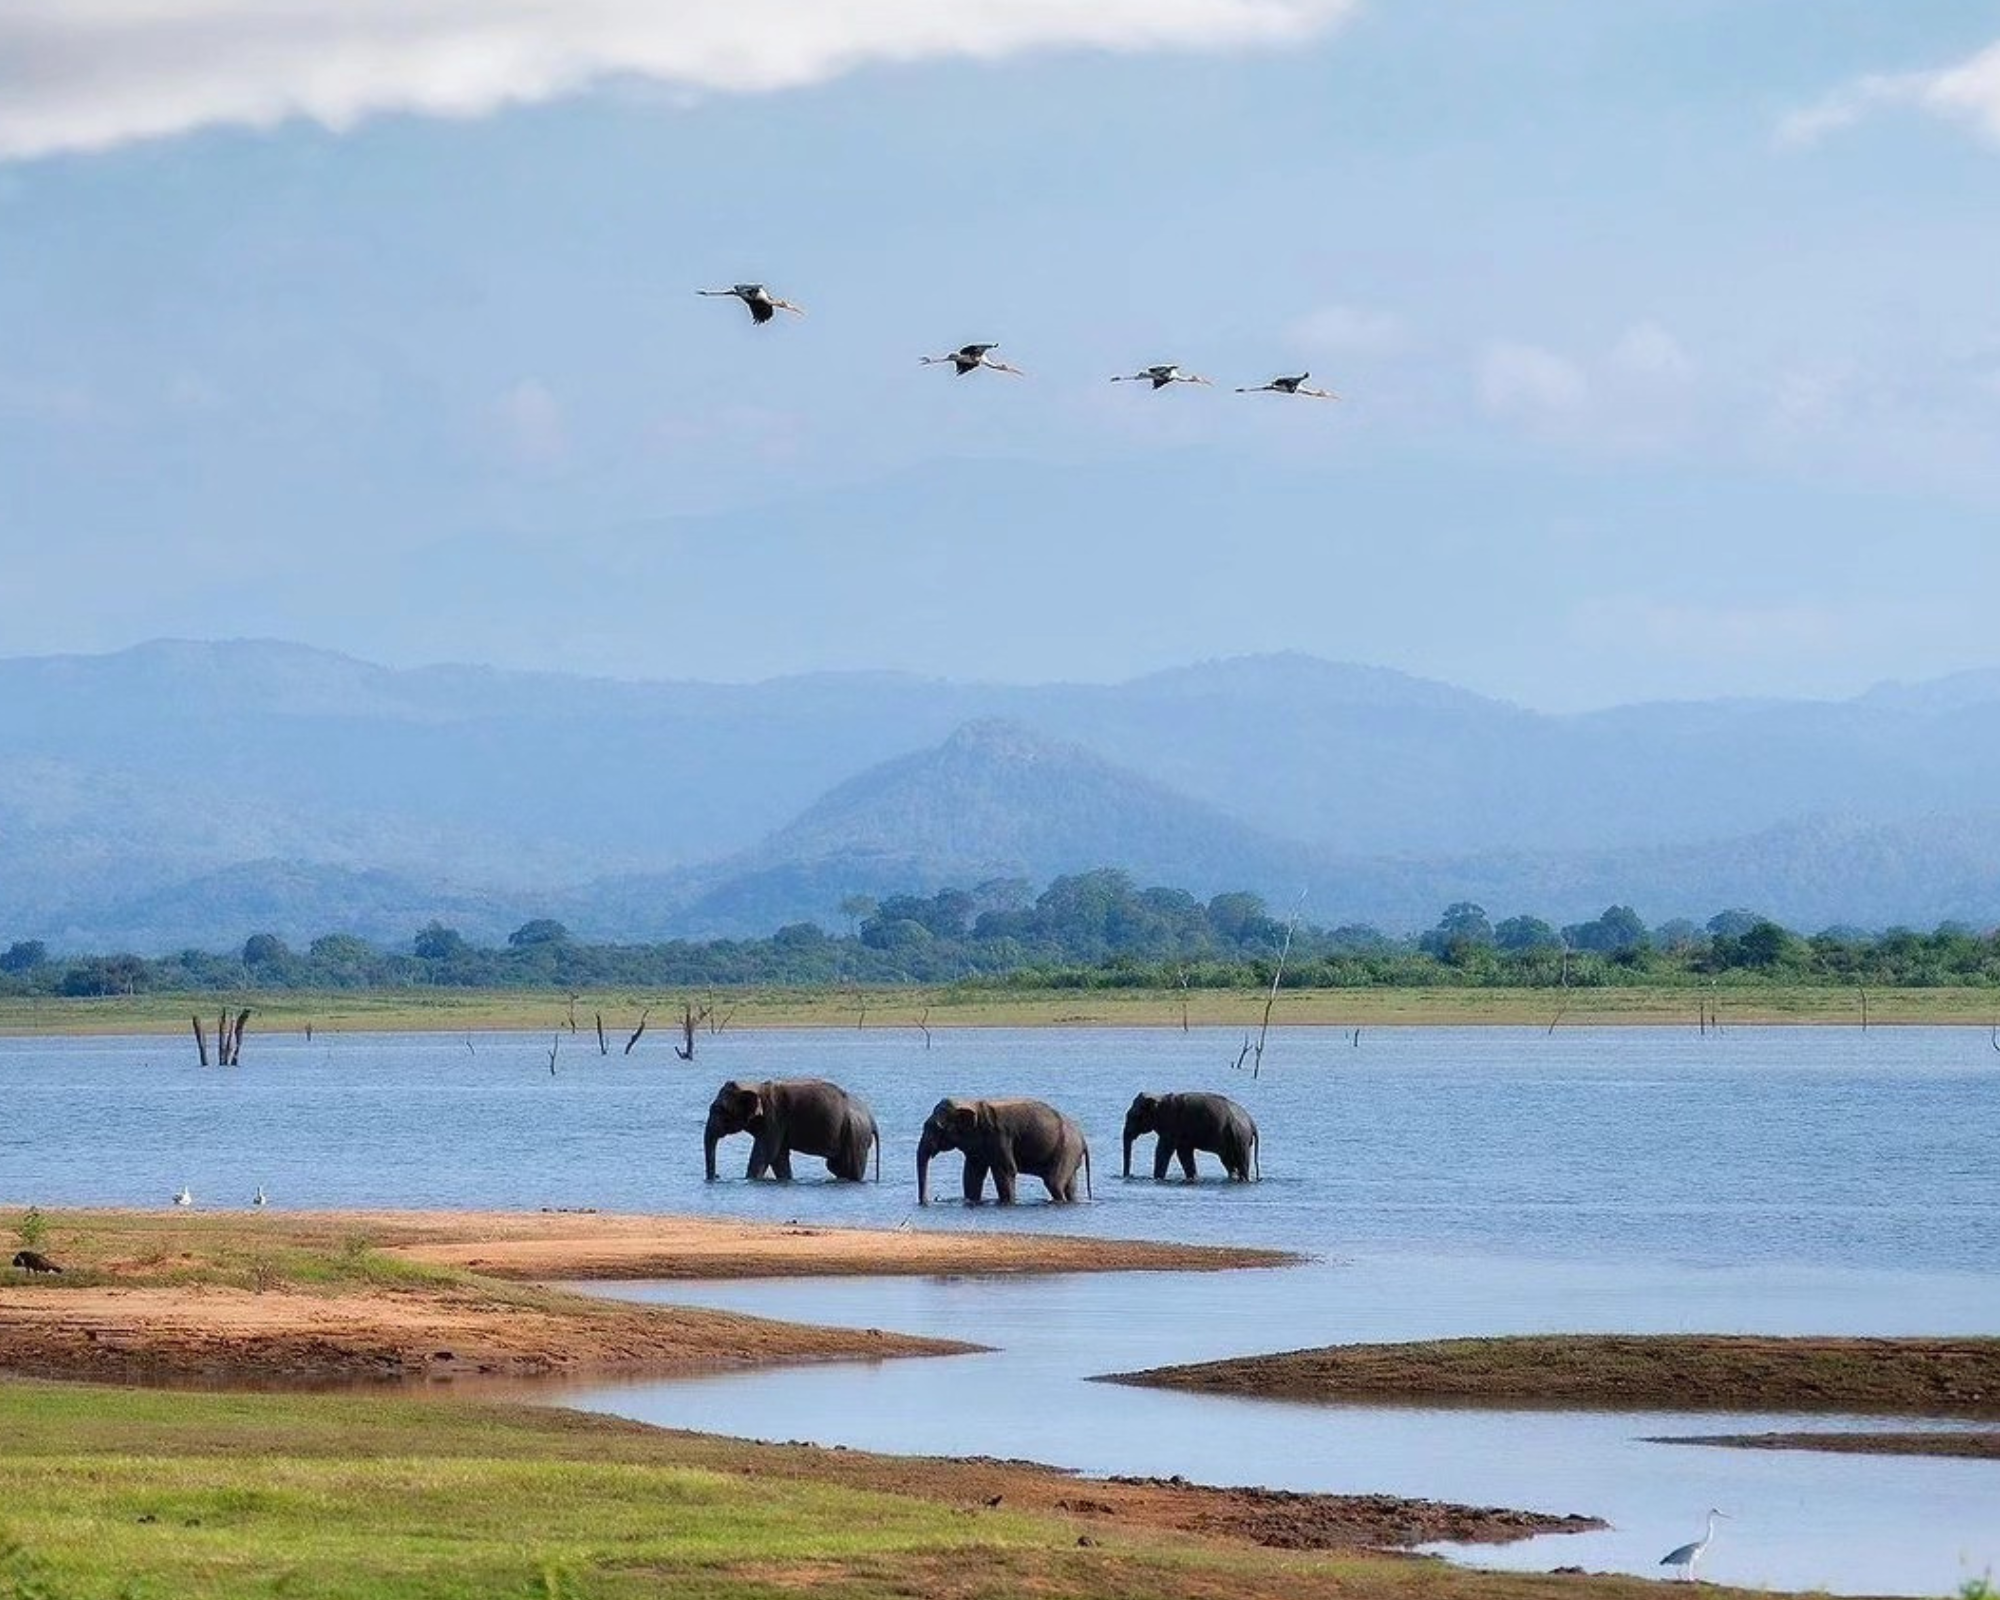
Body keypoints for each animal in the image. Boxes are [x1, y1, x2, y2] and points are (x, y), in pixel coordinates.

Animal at [712, 1080, 884, 1184]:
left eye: (720, 1110)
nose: (715, 1176)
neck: (754, 1085)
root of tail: (872, 1119)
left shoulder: (774, 1118)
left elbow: (766, 1154)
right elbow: (778, 1157)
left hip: (856, 1135)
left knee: (850, 1168)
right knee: (836, 1165)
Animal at [920, 1096, 1096, 1208]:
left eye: (935, 1127)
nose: (925, 1202)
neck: (971, 1103)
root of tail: (1083, 1139)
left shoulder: (1000, 1136)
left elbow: (1005, 1170)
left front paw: (1008, 1203)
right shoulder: (978, 1145)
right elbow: (972, 1174)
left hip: (1066, 1151)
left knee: (1054, 1183)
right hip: (1069, 1154)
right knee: (1070, 1186)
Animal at [1120, 1096, 1256, 1184]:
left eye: (1135, 1116)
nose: (1129, 1176)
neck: (1159, 1097)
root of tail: (1251, 1121)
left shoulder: (1171, 1125)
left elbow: (1163, 1151)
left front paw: (1157, 1179)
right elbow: (1183, 1154)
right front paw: (1193, 1179)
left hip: (1241, 1138)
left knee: (1242, 1161)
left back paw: (1244, 1180)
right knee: (1228, 1162)